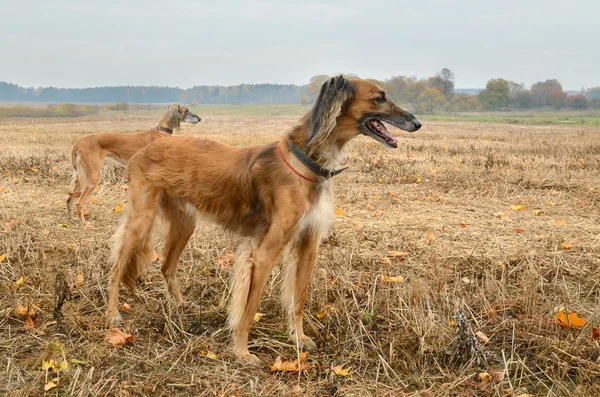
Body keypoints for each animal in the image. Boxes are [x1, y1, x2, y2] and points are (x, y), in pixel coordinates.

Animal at [67, 103, 200, 224]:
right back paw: (84, 224)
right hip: (93, 175)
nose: (199, 119)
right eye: (186, 110)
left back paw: (71, 218)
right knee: (79, 202)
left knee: (69, 199)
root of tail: (79, 142)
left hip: (82, 175)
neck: (161, 131)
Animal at [104, 76, 422, 362]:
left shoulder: (308, 245)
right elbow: (249, 306)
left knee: (167, 266)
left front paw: (298, 338)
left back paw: (181, 307)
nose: (417, 123)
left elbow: (298, 300)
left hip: (184, 223)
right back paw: (112, 315)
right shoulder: (266, 251)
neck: (305, 160)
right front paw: (242, 352)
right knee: (117, 266)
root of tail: (146, 147)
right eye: (379, 97)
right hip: (141, 219)